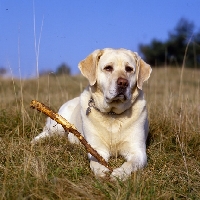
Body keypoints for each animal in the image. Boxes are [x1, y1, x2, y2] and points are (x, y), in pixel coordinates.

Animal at [32, 48, 152, 180]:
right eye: (108, 68)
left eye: (129, 69)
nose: (123, 83)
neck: (112, 114)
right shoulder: (97, 148)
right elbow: (96, 162)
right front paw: (102, 172)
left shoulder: (138, 151)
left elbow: (130, 164)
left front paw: (119, 173)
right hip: (58, 127)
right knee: (45, 133)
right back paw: (34, 141)